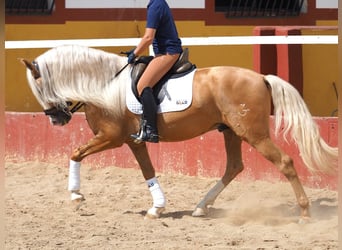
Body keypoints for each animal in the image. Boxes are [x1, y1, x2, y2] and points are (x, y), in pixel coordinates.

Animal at [22, 45, 336, 221]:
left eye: (39, 86)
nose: (57, 120)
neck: (103, 85)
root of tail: (260, 76)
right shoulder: (133, 142)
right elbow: (147, 171)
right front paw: (157, 208)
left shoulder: (111, 137)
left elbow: (75, 153)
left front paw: (76, 195)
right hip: (230, 131)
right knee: (234, 166)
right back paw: (201, 207)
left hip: (254, 134)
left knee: (284, 162)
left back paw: (305, 213)